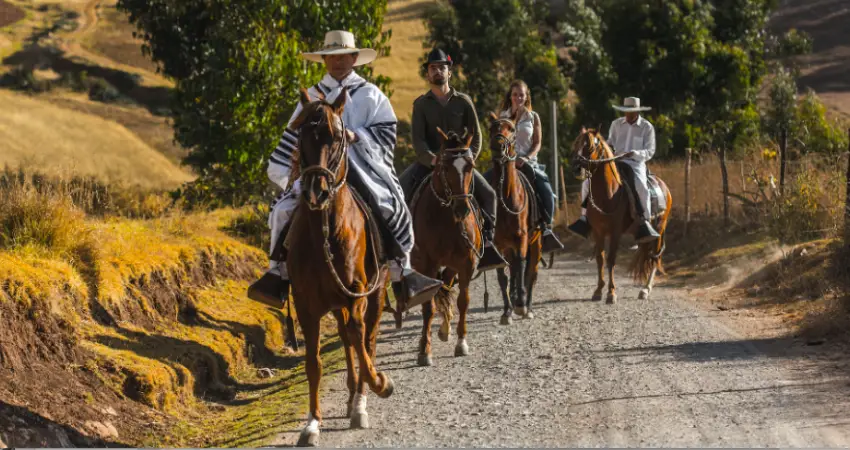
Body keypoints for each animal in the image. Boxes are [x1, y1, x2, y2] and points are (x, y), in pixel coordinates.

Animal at [284, 88, 392, 446]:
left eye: (336, 137)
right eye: (300, 134)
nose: (315, 192)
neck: (325, 235)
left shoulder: (356, 292)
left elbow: (360, 339)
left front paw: (377, 385)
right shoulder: (306, 303)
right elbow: (313, 362)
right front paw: (312, 423)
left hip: (375, 294)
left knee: (365, 337)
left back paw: (360, 399)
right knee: (347, 339)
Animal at [408, 126, 480, 366]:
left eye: (470, 166)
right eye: (445, 167)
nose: (462, 209)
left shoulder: (467, 263)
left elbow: (463, 301)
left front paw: (461, 343)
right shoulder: (427, 265)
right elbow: (427, 307)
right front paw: (424, 351)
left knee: (447, 285)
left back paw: (446, 327)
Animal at [484, 112, 544, 324]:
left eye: (511, 129)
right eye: (491, 128)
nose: (498, 145)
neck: (506, 198)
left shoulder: (522, 239)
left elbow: (522, 267)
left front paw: (520, 305)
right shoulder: (498, 244)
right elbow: (503, 277)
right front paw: (506, 312)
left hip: (536, 242)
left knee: (531, 273)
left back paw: (528, 307)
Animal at [568, 127, 668, 302]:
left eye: (590, 146)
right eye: (576, 143)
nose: (576, 167)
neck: (607, 194)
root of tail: (664, 187)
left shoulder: (615, 232)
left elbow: (611, 259)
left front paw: (611, 293)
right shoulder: (598, 231)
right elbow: (600, 259)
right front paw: (598, 291)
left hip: (660, 228)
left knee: (655, 257)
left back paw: (646, 289)